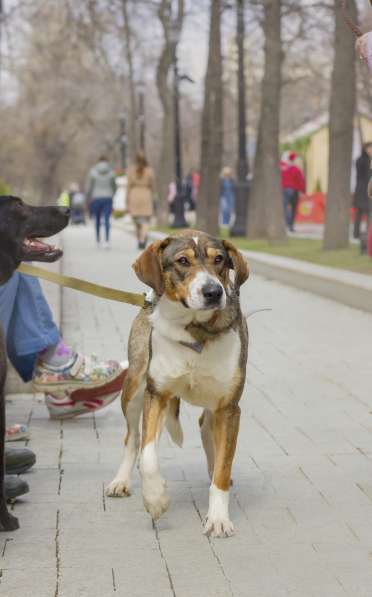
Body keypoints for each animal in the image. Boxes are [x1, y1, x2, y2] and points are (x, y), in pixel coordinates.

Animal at [106, 228, 248, 536]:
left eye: (219, 259)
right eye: (183, 261)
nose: (213, 292)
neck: (195, 330)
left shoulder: (229, 407)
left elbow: (223, 468)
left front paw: (218, 518)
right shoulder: (156, 394)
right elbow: (148, 455)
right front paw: (155, 498)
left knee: (207, 428)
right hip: (133, 388)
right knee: (132, 438)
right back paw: (121, 481)